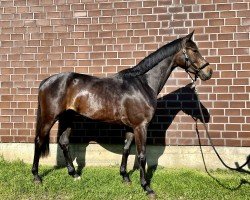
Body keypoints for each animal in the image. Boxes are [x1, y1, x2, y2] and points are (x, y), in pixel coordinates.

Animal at [31, 31, 213, 197]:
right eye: (194, 50)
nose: (209, 72)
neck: (143, 84)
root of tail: (46, 81)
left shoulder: (131, 127)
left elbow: (126, 149)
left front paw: (125, 177)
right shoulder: (141, 127)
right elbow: (141, 155)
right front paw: (146, 187)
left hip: (67, 118)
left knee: (63, 142)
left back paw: (74, 174)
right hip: (49, 118)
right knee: (39, 141)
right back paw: (37, 177)